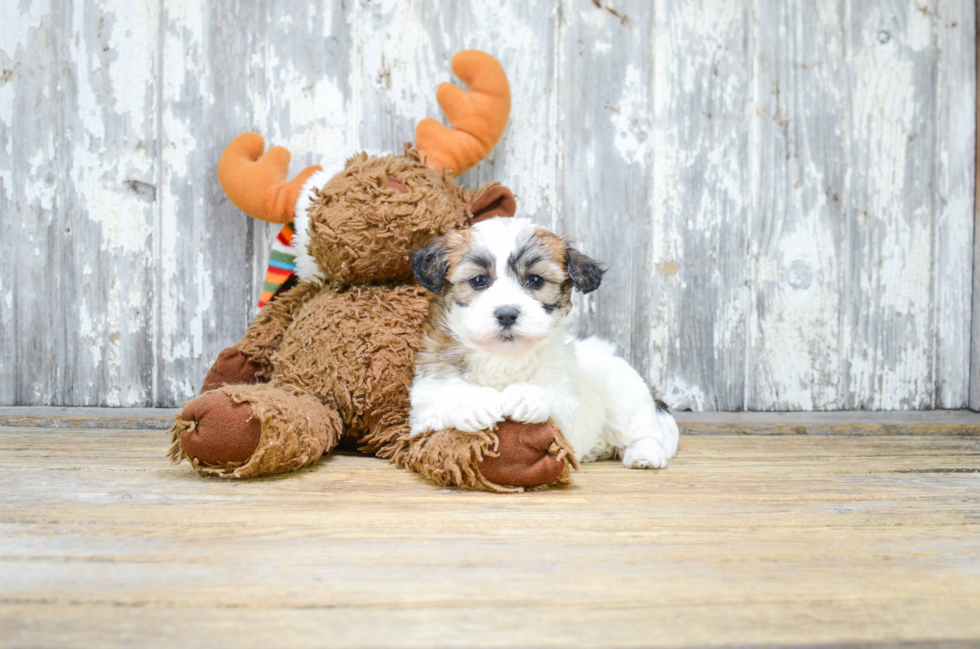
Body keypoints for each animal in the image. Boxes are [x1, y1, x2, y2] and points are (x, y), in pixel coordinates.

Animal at [410, 215, 676, 468]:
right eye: (478, 281)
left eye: (535, 280)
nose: (507, 314)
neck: (504, 356)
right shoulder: (422, 407)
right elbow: (442, 394)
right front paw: (476, 402)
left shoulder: (567, 404)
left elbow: (554, 397)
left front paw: (525, 396)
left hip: (626, 396)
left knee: (645, 433)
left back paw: (644, 454)